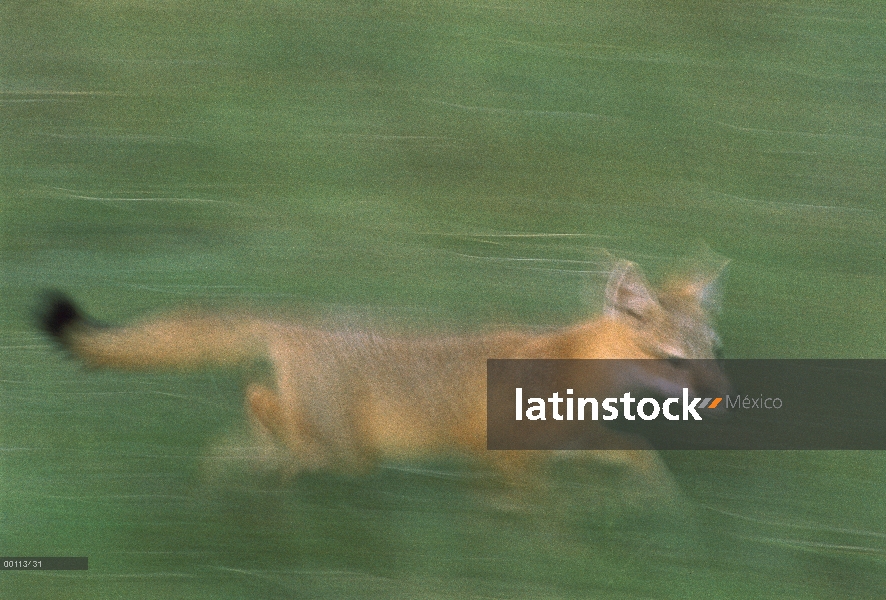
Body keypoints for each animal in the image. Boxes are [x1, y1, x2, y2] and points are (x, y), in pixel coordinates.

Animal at [40, 260, 728, 500]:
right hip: (345, 451)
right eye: (675, 360)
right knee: (261, 408)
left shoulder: (573, 446)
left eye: (714, 353)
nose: (718, 395)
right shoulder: (511, 457)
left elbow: (643, 462)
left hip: (342, 451)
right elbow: (539, 518)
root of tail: (299, 320)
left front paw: (668, 513)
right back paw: (251, 471)